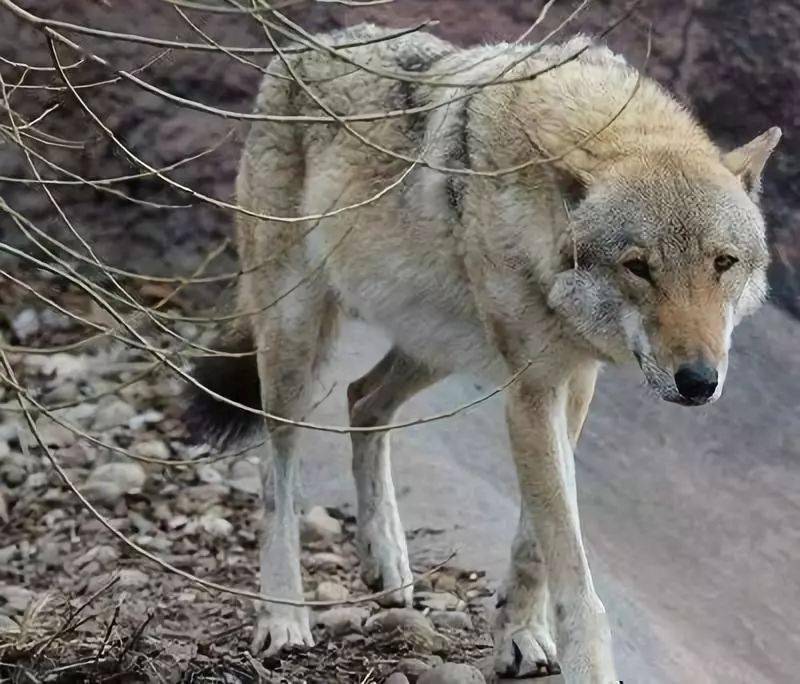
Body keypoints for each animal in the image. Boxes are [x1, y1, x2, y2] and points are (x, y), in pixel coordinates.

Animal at [184, 24, 780, 680]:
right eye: (638, 267)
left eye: (722, 263)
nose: (698, 381)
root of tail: (306, 45)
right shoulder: (532, 390)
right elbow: (570, 565)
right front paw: (583, 662)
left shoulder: (574, 383)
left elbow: (534, 543)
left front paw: (519, 634)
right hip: (296, 343)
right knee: (277, 472)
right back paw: (284, 615)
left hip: (435, 347)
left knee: (363, 400)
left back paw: (386, 561)